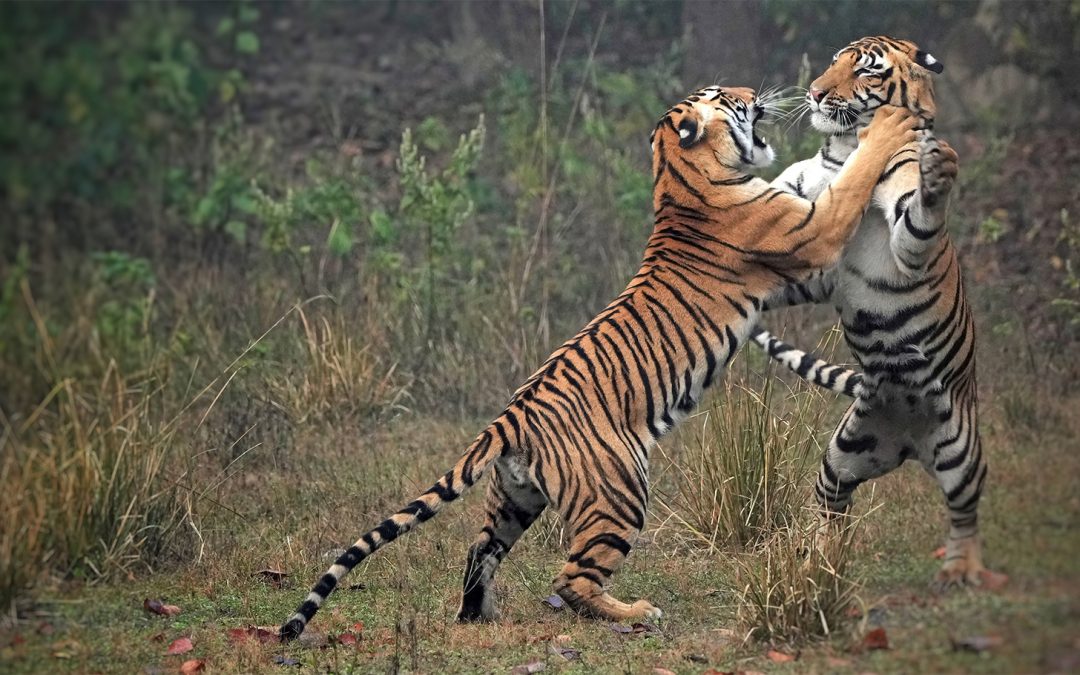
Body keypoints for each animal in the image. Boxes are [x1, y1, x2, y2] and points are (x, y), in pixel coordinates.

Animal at [278, 86, 917, 640]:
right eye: (726, 97)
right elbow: (853, 183)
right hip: (619, 491)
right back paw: (635, 612)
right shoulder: (811, 235)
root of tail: (509, 418)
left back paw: (479, 614)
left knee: (480, 549)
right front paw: (888, 130)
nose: (755, 93)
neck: (679, 176)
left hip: (514, 498)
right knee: (571, 579)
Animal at [749, 35, 994, 589]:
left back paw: (961, 570)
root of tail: (909, 441)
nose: (816, 92)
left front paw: (937, 175)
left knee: (964, 512)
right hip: (844, 453)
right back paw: (819, 561)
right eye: (833, 62)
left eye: (865, 72)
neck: (841, 152)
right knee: (832, 506)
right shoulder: (809, 232)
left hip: (962, 450)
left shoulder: (901, 235)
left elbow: (918, 215)